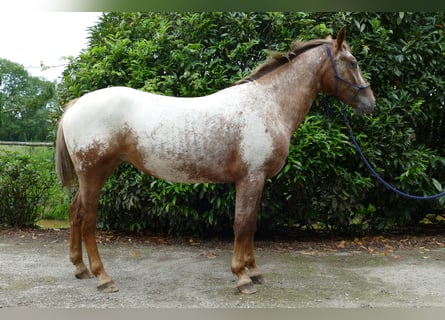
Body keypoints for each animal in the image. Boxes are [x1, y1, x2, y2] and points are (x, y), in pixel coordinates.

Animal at [55, 27, 374, 296]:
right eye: (353, 62)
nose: (370, 102)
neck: (267, 104)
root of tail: (76, 104)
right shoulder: (250, 178)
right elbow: (241, 224)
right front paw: (242, 278)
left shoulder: (256, 181)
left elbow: (251, 225)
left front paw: (254, 271)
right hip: (93, 173)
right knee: (88, 220)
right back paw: (103, 278)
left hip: (96, 174)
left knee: (75, 213)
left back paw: (80, 269)